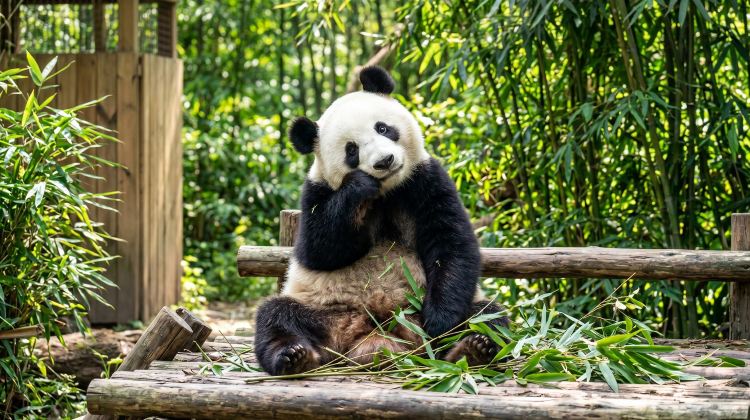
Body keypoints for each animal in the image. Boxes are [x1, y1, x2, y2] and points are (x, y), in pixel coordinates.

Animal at [255, 66, 509, 375]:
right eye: (351, 150)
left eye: (383, 128)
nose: (384, 161)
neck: (387, 192)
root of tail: (375, 337)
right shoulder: (315, 192)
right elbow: (319, 250)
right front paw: (358, 186)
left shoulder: (427, 179)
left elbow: (451, 244)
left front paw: (440, 323)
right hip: (322, 309)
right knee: (275, 316)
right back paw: (294, 356)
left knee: (489, 316)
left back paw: (473, 349)